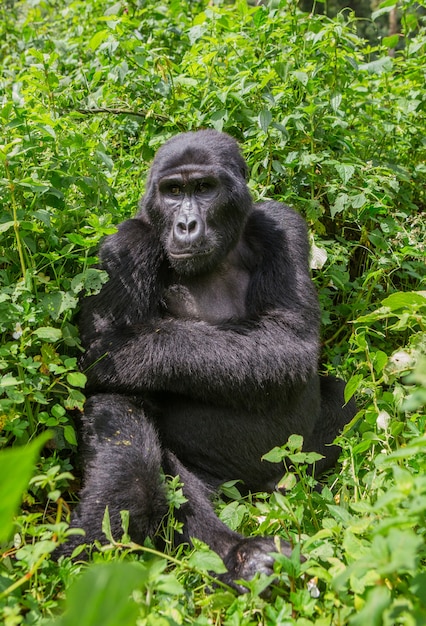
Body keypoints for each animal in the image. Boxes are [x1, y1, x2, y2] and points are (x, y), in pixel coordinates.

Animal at [65, 129, 354, 588]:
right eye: (173, 191)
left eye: (204, 188)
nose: (185, 225)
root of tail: (258, 489)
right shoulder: (125, 247)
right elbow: (105, 362)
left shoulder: (282, 224)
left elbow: (289, 337)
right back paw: (236, 554)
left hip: (290, 466)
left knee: (345, 399)